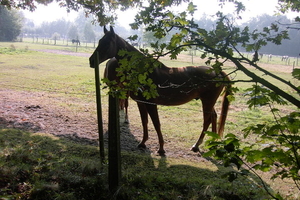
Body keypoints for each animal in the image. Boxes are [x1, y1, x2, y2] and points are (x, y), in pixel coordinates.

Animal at [89, 26, 232, 155]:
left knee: (207, 120)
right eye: (100, 41)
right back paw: (212, 143)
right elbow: (145, 122)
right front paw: (143, 143)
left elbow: (156, 124)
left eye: (107, 43)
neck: (144, 72)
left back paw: (196, 145)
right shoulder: (141, 103)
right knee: (213, 116)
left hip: (207, 102)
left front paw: (161, 148)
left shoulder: (151, 104)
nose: (91, 61)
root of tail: (219, 72)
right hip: (208, 102)